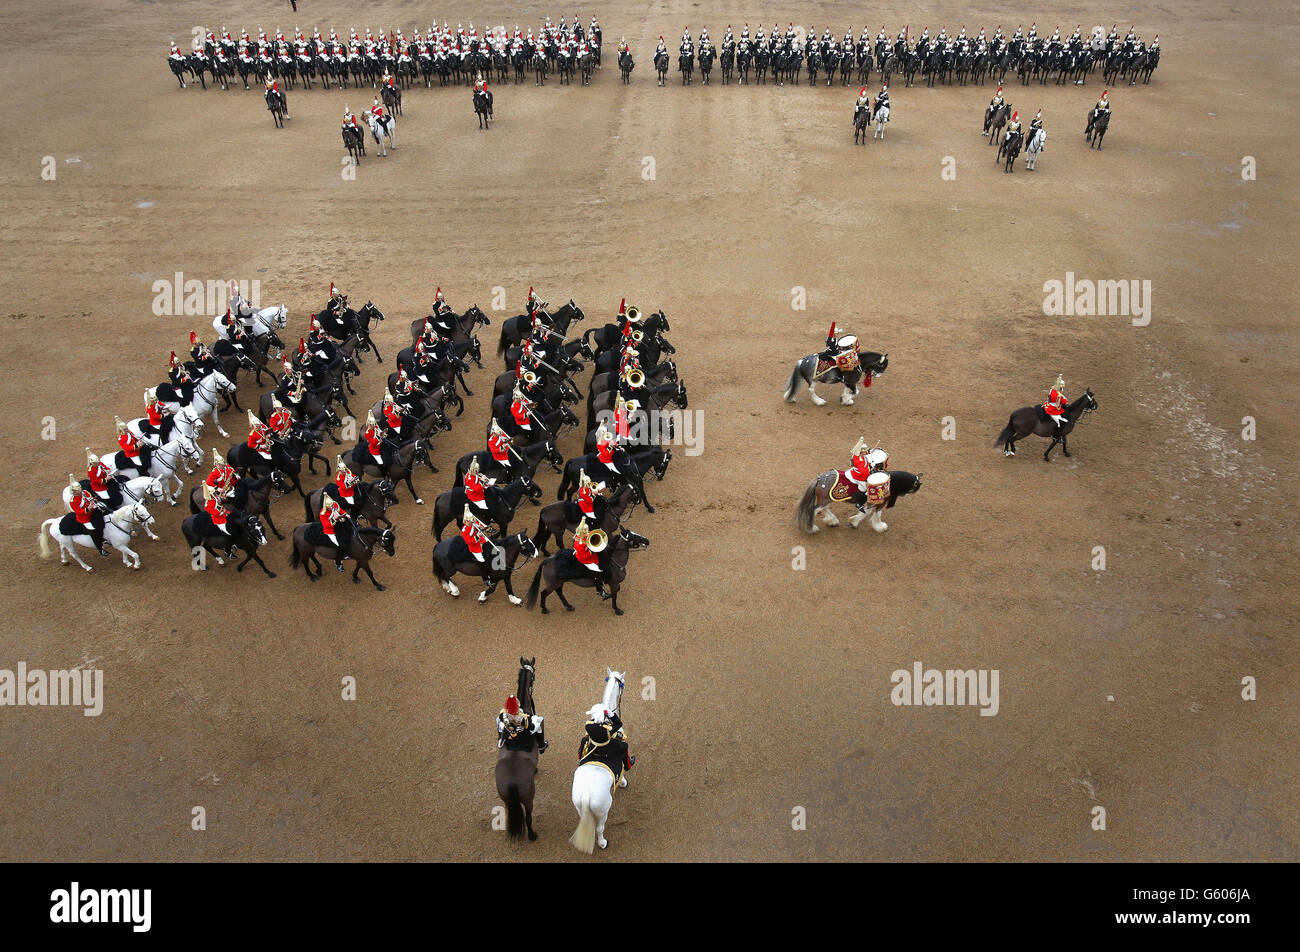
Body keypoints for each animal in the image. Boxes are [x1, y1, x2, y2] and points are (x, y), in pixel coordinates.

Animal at [572, 671, 626, 853]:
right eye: (622, 683)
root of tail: (587, 794)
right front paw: (623, 782)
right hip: (603, 810)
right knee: (599, 828)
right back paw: (602, 843)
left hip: (579, 808)